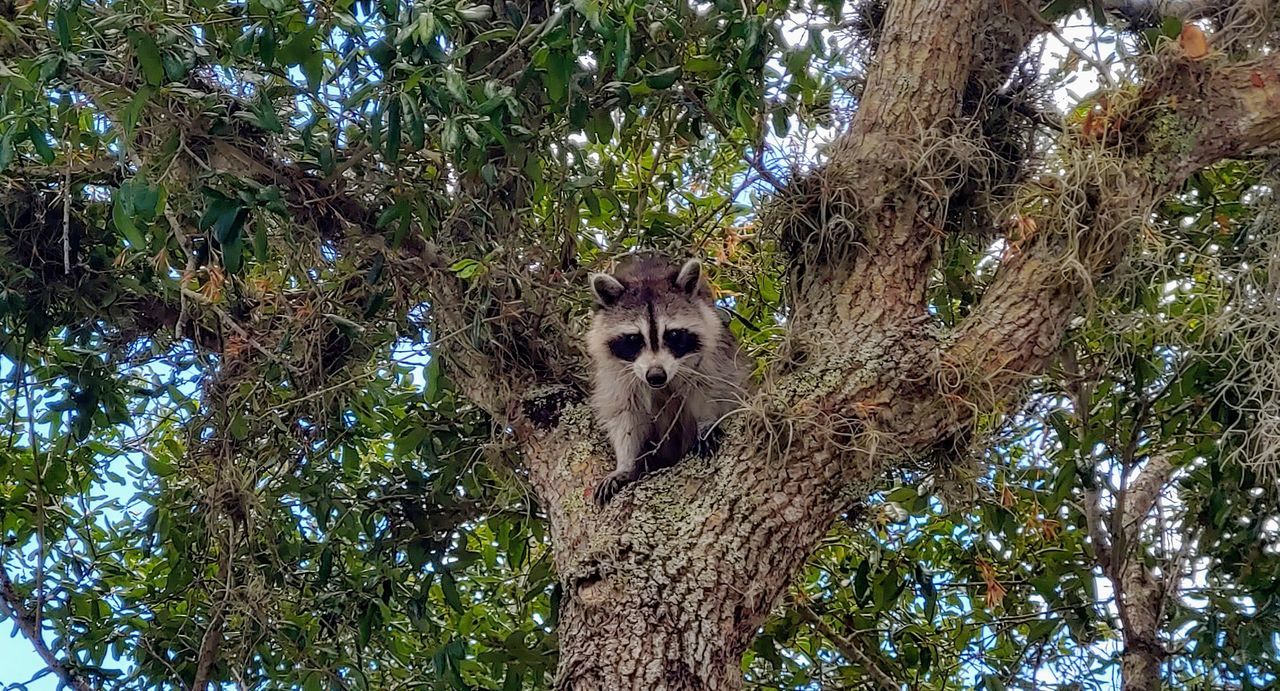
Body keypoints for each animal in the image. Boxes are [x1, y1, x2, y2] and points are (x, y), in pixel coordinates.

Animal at [583, 253, 747, 506]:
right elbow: (624, 414)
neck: (647, 274)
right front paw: (625, 464)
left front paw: (707, 421)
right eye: (634, 338)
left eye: (673, 334)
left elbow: (714, 386)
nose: (656, 375)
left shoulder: (713, 350)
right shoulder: (616, 373)